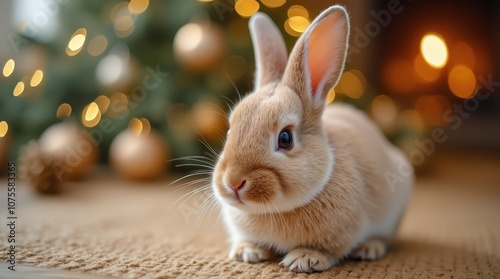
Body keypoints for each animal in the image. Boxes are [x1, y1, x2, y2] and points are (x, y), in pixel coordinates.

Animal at [211, 5, 414, 274]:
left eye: (285, 138)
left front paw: (304, 259)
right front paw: (247, 252)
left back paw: (369, 248)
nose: (233, 182)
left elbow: (329, 251)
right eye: (230, 131)